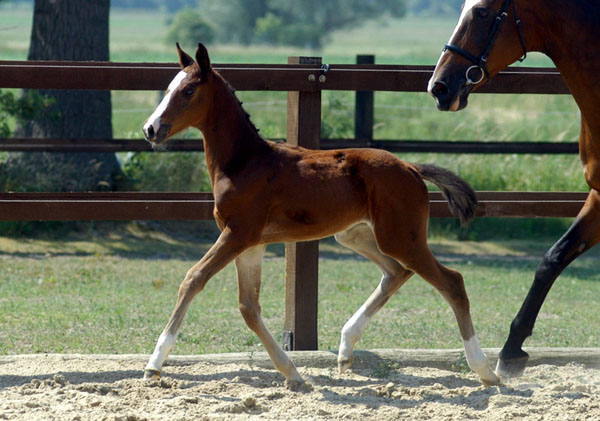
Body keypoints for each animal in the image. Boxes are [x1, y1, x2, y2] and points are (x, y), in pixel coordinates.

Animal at [142, 42, 502, 388]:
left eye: (188, 90)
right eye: (169, 87)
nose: (150, 129)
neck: (244, 162)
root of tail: (411, 167)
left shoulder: (238, 233)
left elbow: (193, 279)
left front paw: (154, 365)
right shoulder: (252, 243)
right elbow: (249, 307)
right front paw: (292, 374)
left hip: (401, 237)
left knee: (451, 281)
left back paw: (484, 369)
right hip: (356, 234)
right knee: (396, 272)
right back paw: (345, 348)